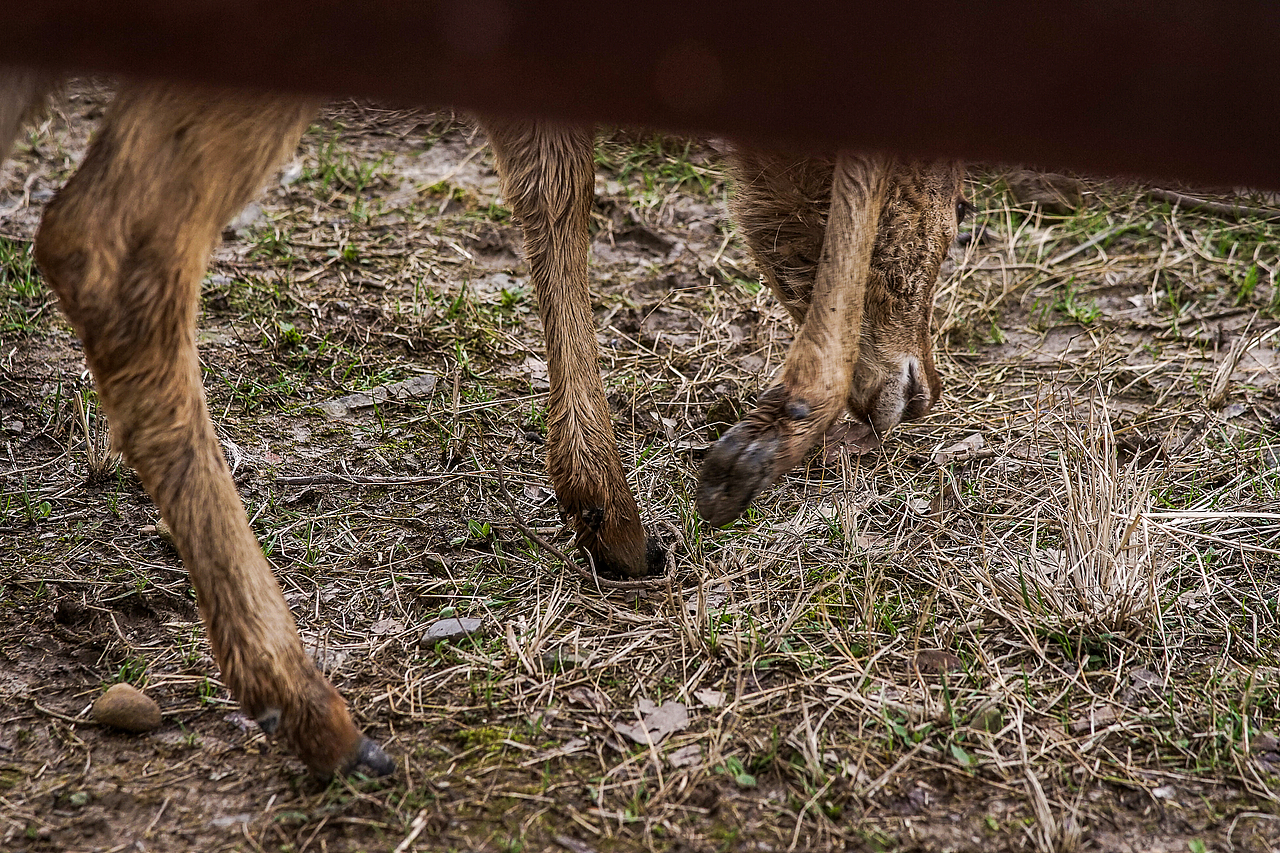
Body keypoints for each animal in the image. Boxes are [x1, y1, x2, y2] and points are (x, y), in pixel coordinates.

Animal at [0, 71, 964, 777]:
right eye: (959, 220)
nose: (918, 388)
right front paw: (759, 442)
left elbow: (554, 180)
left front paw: (609, 515)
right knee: (119, 245)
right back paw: (315, 711)